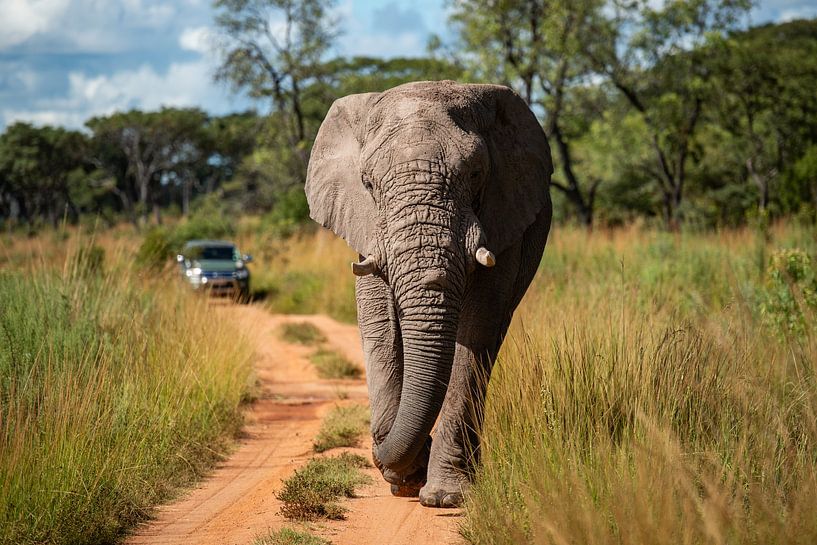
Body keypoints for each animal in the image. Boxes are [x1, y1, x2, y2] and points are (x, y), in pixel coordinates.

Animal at [305, 80, 552, 508]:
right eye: (367, 183)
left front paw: (444, 496)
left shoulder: (504, 217)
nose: (378, 453)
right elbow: (377, 322)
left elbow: (477, 327)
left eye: (475, 173)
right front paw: (403, 479)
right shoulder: (367, 228)